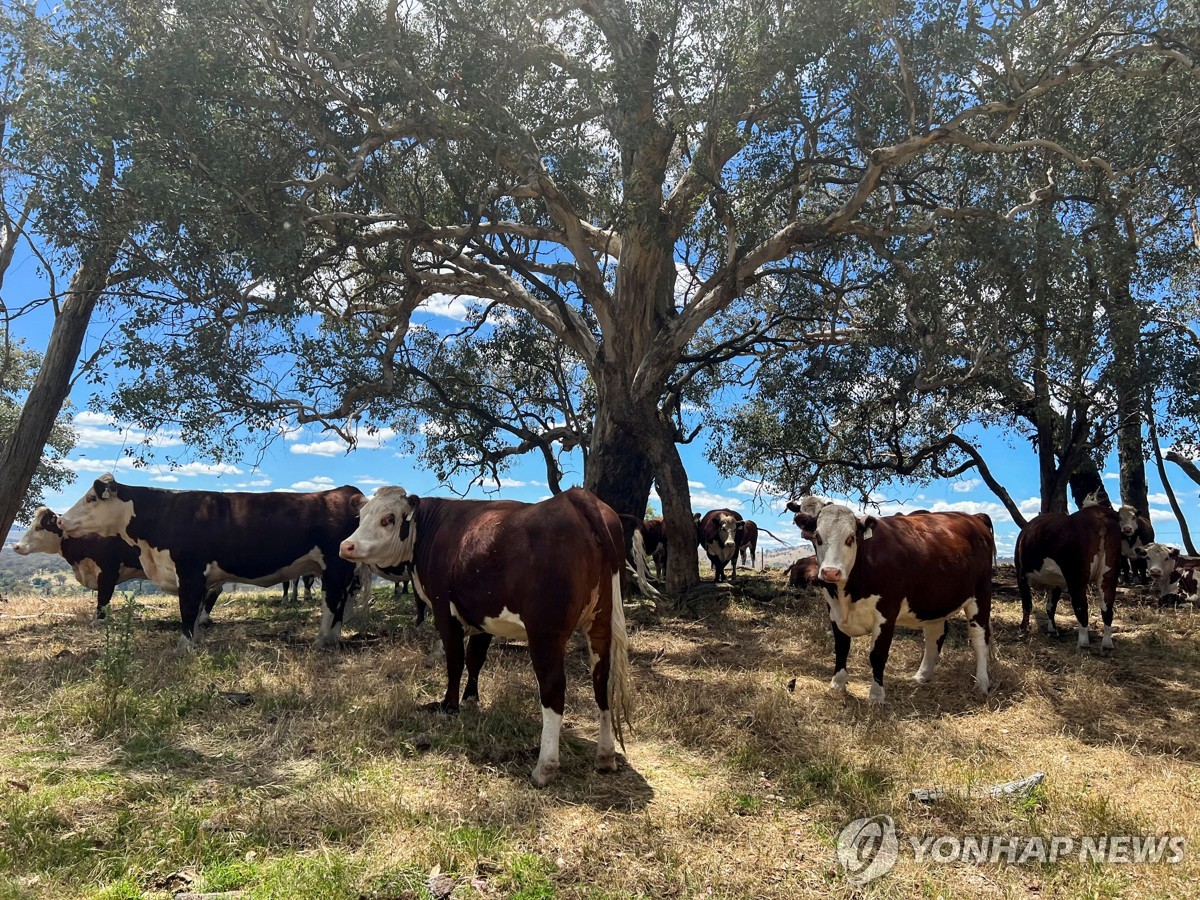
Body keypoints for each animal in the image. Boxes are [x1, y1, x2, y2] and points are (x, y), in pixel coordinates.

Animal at [59, 480, 364, 657]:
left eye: (91, 498)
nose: (61, 521)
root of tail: (347, 493)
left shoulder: (190, 571)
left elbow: (187, 611)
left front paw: (183, 648)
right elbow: (195, 613)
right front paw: (193, 642)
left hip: (334, 567)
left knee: (332, 603)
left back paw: (322, 640)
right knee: (340, 603)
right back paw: (332, 639)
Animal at [338, 487, 633, 787]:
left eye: (388, 518)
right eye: (362, 515)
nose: (346, 546)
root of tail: (576, 496)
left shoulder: (444, 611)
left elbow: (455, 661)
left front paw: (449, 705)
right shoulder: (482, 618)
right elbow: (475, 659)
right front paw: (470, 700)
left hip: (545, 632)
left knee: (553, 688)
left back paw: (545, 767)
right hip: (601, 623)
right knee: (601, 682)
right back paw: (605, 755)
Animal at [787, 501, 993, 705]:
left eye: (851, 538)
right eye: (818, 537)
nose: (830, 572)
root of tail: (973, 517)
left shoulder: (886, 613)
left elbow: (877, 655)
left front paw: (876, 696)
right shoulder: (834, 611)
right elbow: (841, 648)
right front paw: (837, 685)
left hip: (981, 593)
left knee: (979, 638)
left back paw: (982, 684)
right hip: (934, 601)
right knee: (935, 634)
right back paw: (921, 676)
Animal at [1012, 508, 1123, 648]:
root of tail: (1097, 512)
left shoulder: (1021, 574)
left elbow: (1027, 604)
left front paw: (1022, 629)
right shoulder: (1056, 583)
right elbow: (1050, 606)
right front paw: (1052, 630)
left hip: (1076, 578)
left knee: (1081, 607)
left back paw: (1083, 643)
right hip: (1108, 576)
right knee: (1107, 608)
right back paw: (1107, 644)